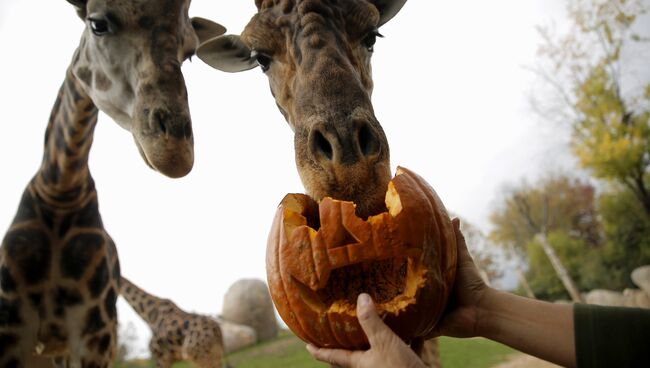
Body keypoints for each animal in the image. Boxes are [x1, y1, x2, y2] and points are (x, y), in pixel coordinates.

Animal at [0, 1, 225, 366]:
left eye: (190, 53)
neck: (62, 191)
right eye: (98, 24)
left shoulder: (97, 335)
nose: (174, 151)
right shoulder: (14, 329)